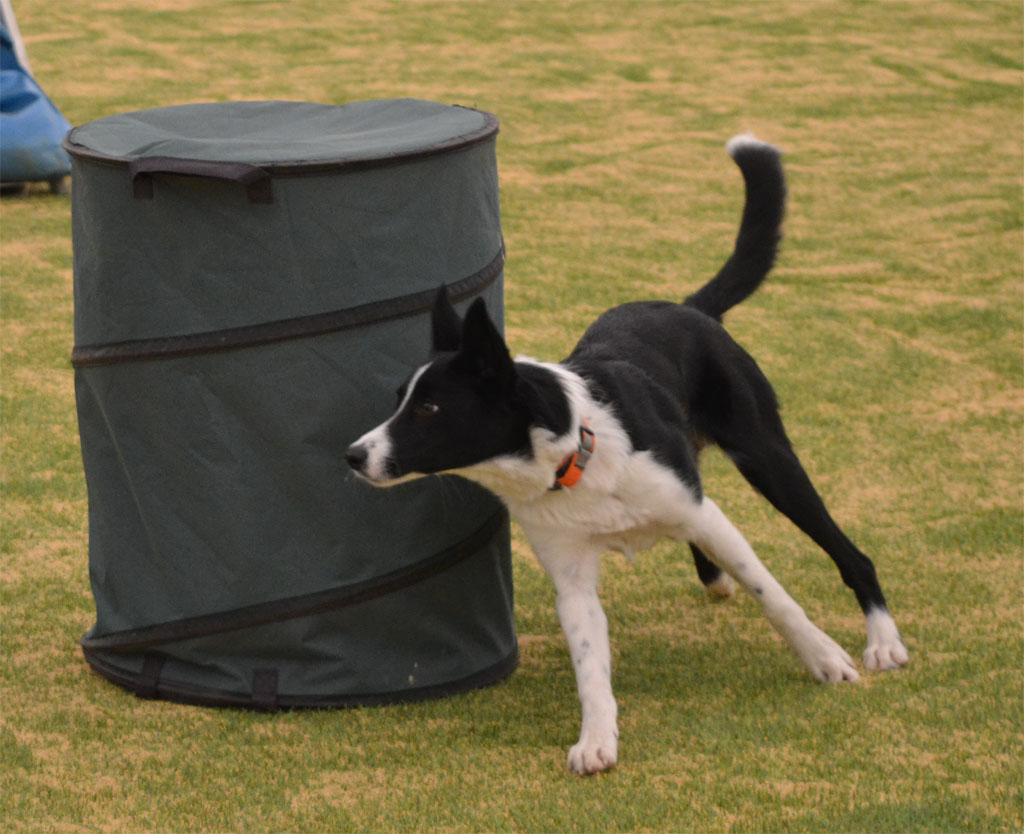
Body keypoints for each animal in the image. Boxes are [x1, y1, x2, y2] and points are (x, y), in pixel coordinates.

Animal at [348, 137, 909, 778]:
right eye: (400, 399)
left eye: (430, 409)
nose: (354, 455)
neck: (574, 453)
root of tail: (690, 308)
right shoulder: (572, 577)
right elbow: (591, 665)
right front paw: (596, 740)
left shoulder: (702, 511)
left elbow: (775, 595)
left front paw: (824, 659)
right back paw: (718, 581)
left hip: (769, 458)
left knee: (849, 553)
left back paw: (882, 640)